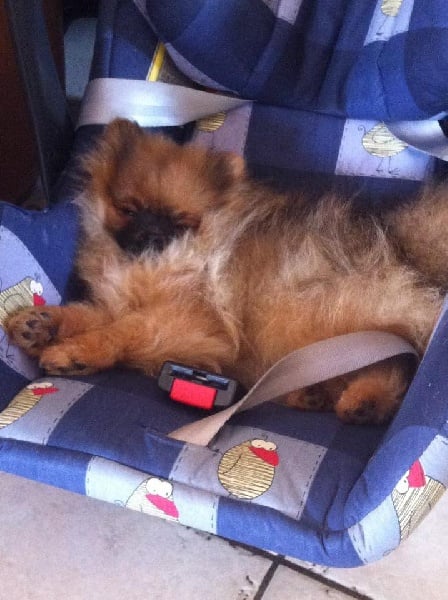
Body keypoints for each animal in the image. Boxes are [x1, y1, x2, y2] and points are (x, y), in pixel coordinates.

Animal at [5, 118, 448, 424]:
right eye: (128, 208)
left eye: (181, 221)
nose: (150, 232)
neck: (154, 265)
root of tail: (405, 253)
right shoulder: (117, 302)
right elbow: (86, 314)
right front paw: (41, 323)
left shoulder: (194, 323)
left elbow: (123, 330)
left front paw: (76, 353)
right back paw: (316, 395)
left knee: (395, 364)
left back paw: (364, 402)